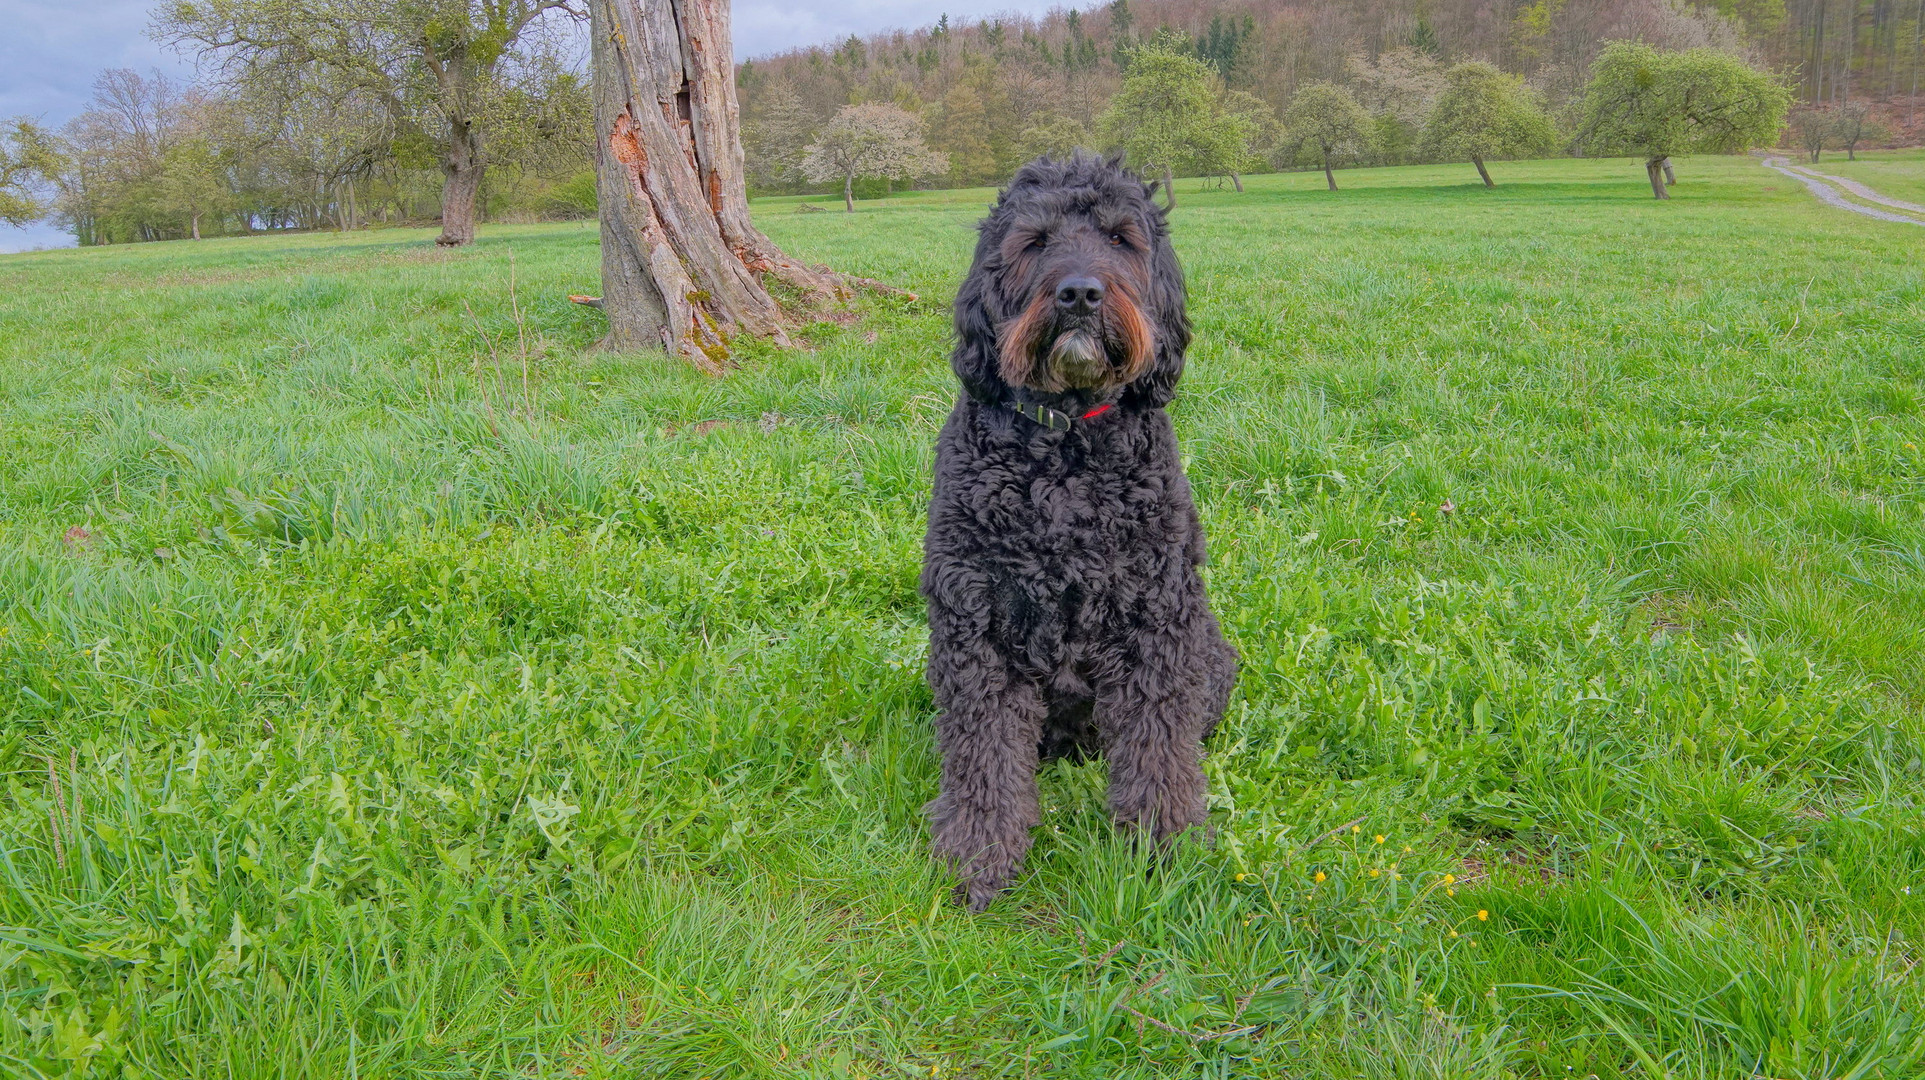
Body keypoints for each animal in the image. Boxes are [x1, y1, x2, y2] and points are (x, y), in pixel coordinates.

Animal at [924, 154, 1239, 908]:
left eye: (1122, 239)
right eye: (1034, 242)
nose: (1079, 294)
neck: (1065, 453)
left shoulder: (1155, 622)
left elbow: (1159, 748)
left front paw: (1164, 846)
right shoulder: (976, 625)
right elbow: (983, 755)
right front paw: (979, 854)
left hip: (1209, 652)